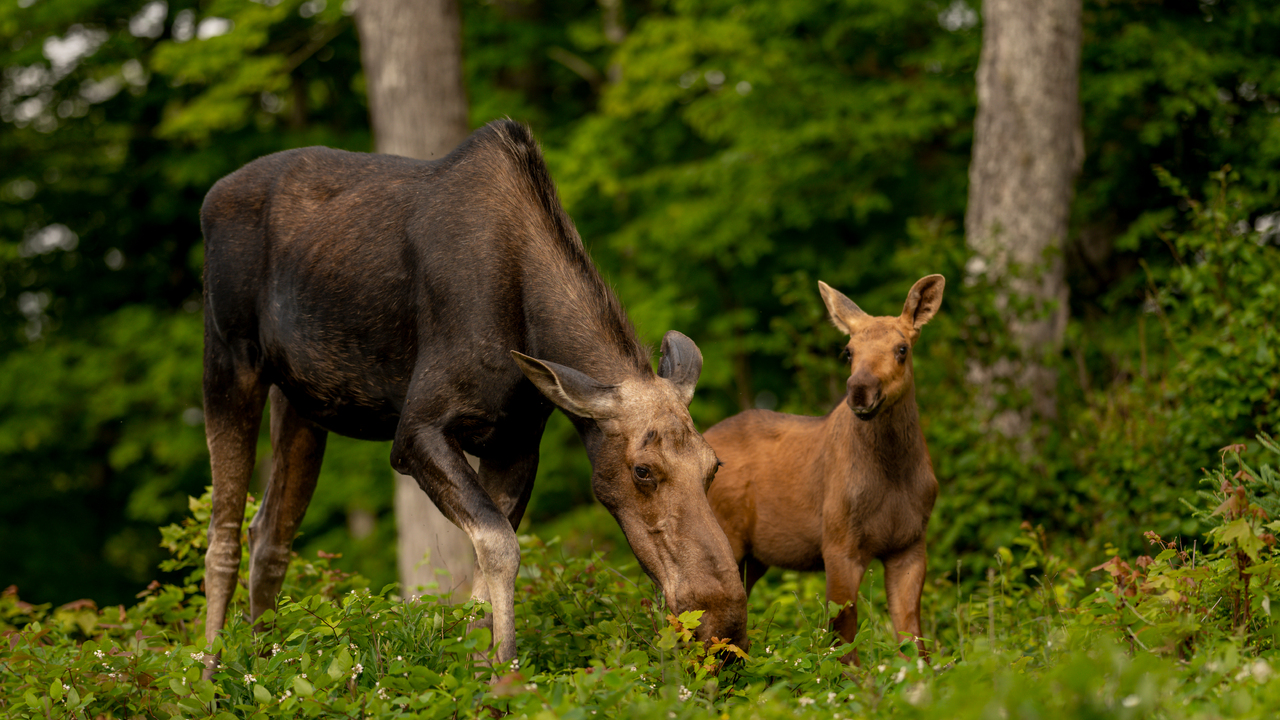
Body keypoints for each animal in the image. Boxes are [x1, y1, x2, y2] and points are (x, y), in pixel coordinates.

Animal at [198, 119, 747, 677]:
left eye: (714, 466)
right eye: (642, 470)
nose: (723, 625)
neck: (528, 322)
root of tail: (211, 196)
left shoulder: (515, 444)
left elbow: (489, 563)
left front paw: (482, 674)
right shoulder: (417, 430)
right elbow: (500, 546)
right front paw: (505, 669)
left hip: (303, 402)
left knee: (269, 534)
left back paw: (263, 664)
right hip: (228, 359)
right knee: (222, 534)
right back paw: (211, 674)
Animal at [705, 275, 944, 662]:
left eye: (902, 348)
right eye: (848, 351)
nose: (860, 389)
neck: (893, 473)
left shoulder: (910, 543)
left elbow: (911, 634)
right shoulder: (838, 541)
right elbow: (842, 632)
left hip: (754, 558)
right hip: (725, 536)